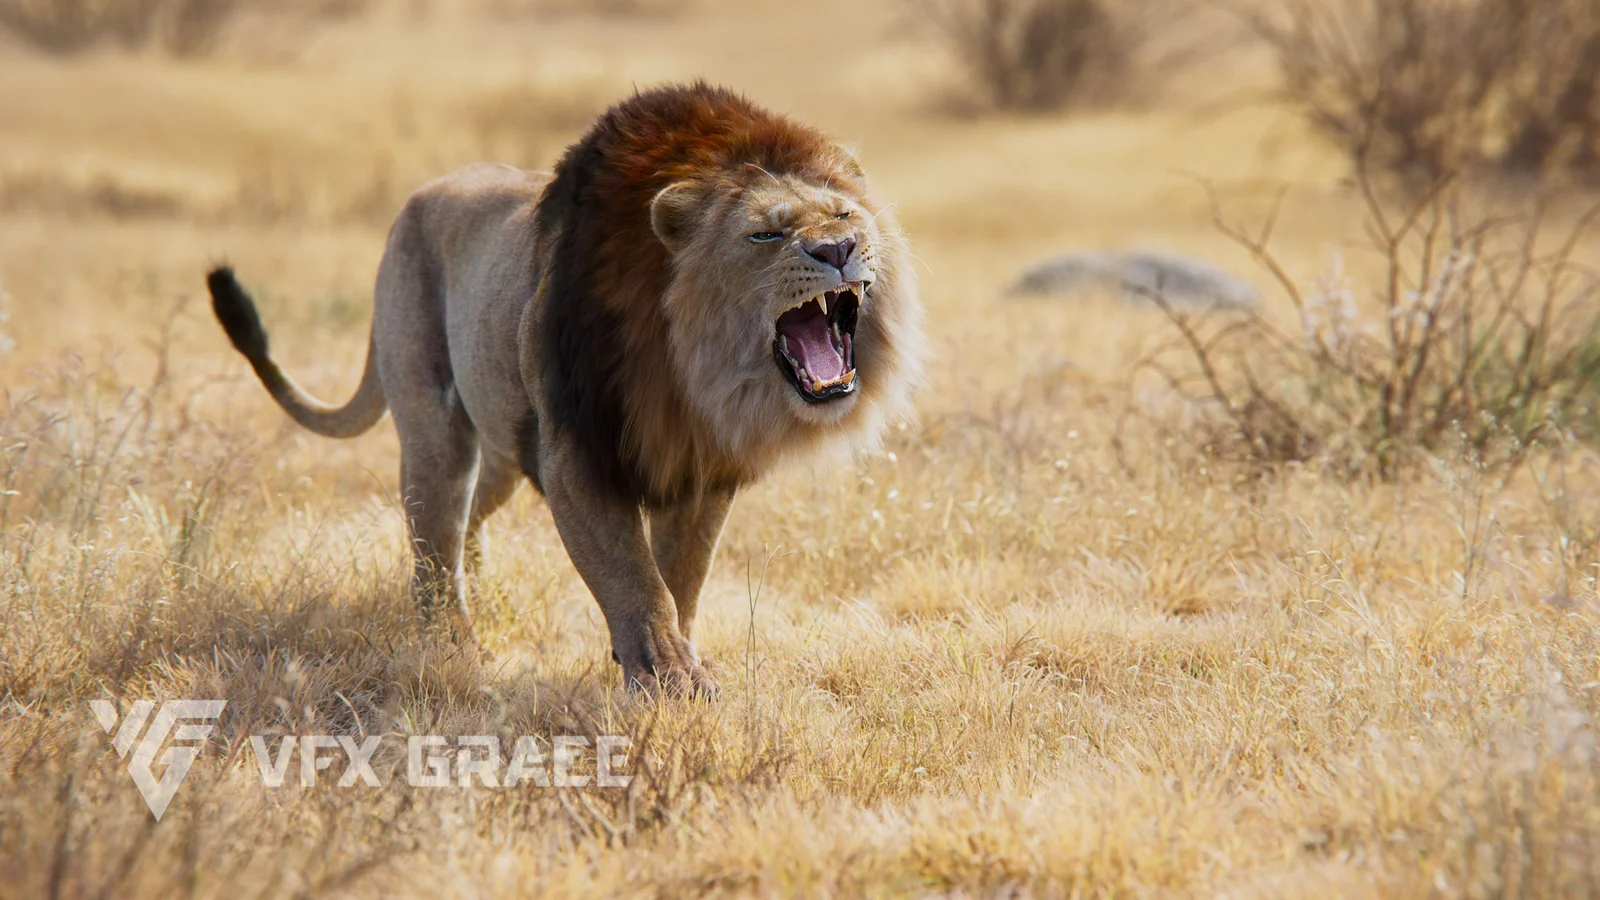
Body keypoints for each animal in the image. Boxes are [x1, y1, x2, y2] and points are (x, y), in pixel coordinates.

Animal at [206, 82, 925, 697]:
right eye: (766, 233)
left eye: (844, 213)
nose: (838, 248)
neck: (691, 372)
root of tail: (414, 200)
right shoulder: (576, 451)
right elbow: (635, 577)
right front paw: (667, 679)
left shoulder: (700, 468)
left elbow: (682, 575)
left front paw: (683, 661)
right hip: (437, 427)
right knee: (433, 539)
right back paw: (453, 647)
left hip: (501, 443)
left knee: (470, 520)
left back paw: (485, 596)